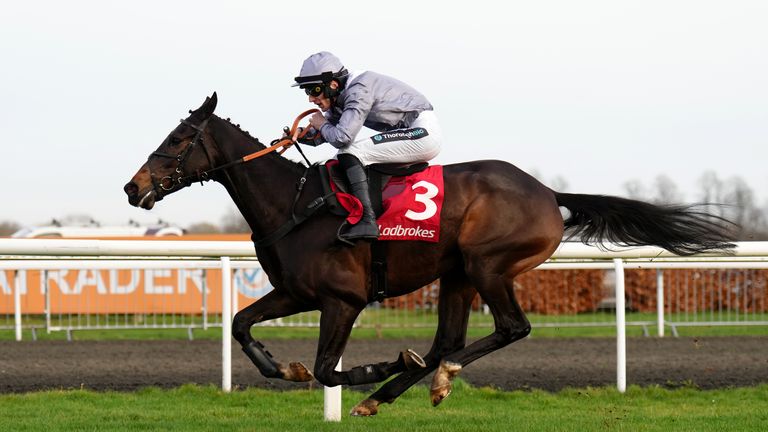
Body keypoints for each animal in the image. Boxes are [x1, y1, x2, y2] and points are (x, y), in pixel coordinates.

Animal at [123, 93, 736, 416]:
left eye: (177, 140)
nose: (133, 188)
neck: (294, 204)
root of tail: (547, 193)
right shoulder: (296, 292)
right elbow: (240, 325)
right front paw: (282, 365)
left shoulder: (342, 300)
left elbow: (326, 369)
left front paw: (371, 367)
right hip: (458, 273)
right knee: (450, 339)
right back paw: (402, 385)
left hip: (488, 265)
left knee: (508, 329)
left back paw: (425, 376)